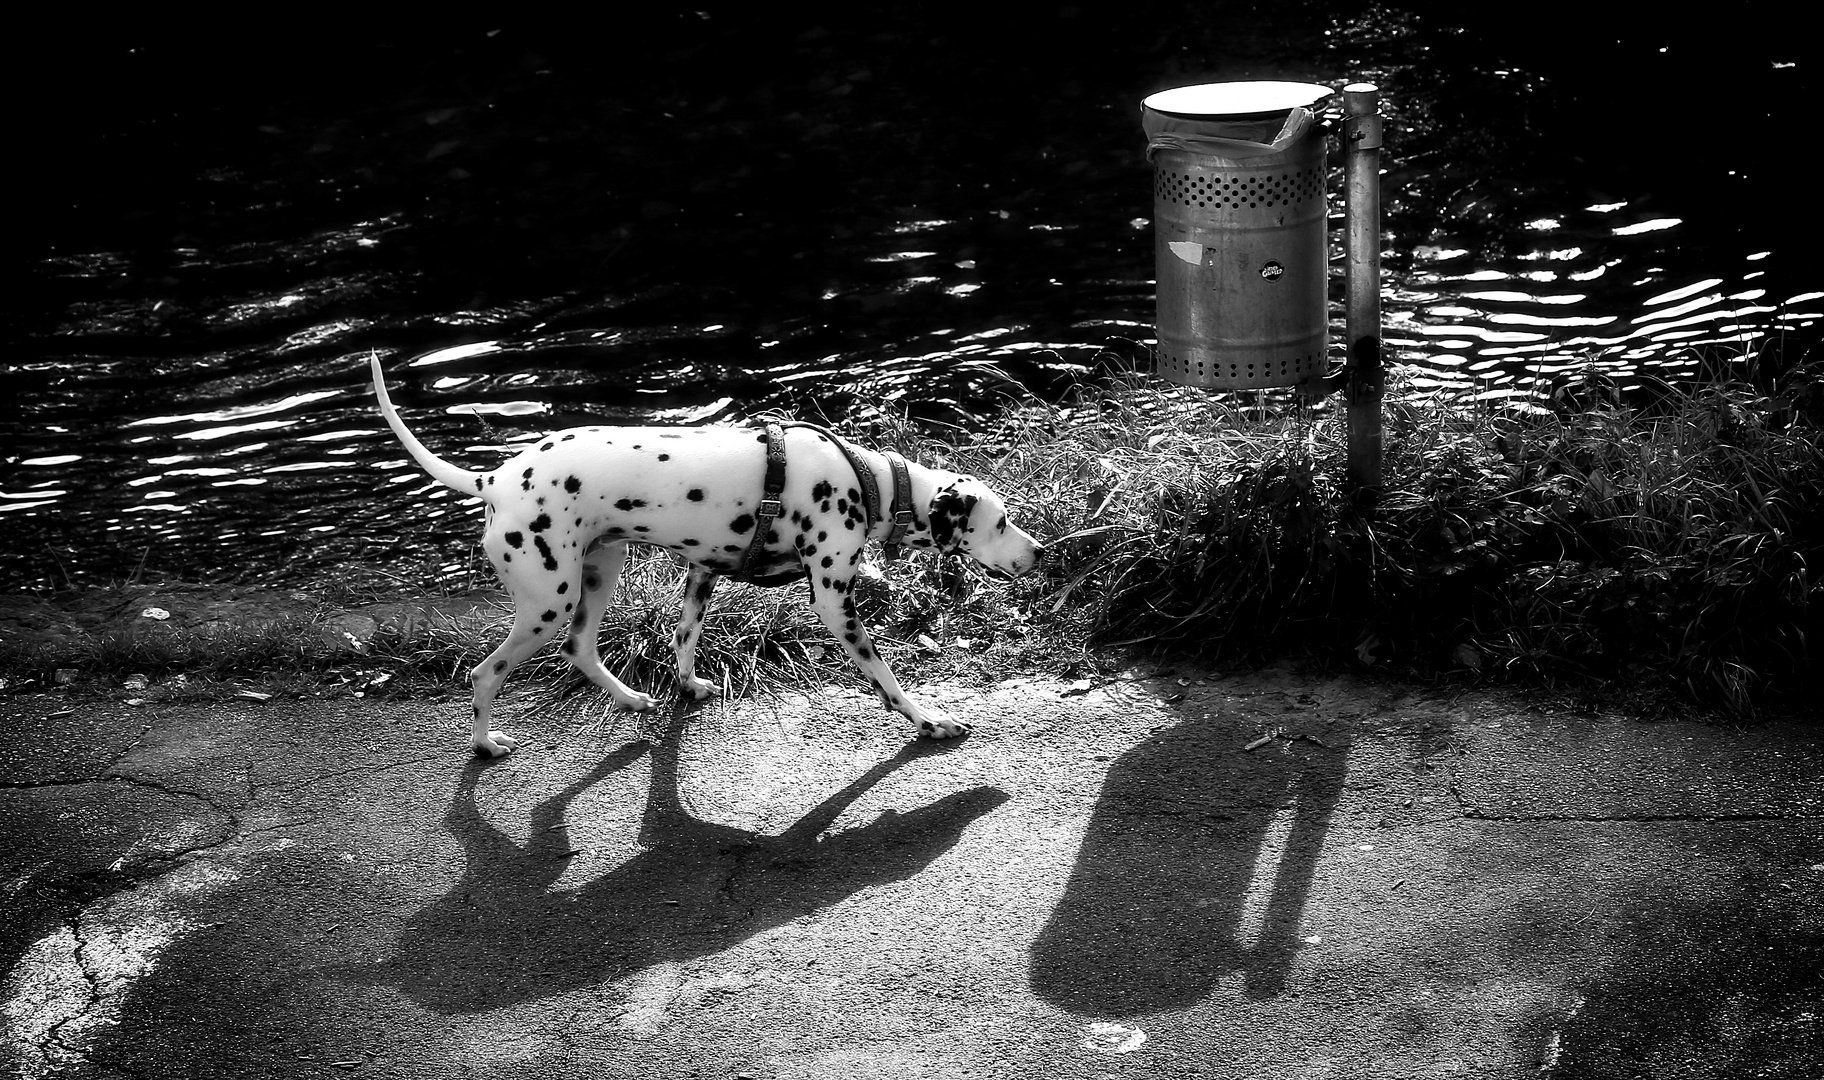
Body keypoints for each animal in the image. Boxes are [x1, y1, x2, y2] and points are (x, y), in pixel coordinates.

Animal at [366, 359, 1043, 755]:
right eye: (1001, 521)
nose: (1038, 555)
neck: (864, 480)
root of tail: (496, 479)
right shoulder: (835, 603)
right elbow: (885, 678)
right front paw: (929, 721)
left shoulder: (703, 572)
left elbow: (685, 634)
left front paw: (688, 684)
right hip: (547, 603)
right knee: (486, 674)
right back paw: (486, 744)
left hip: (598, 575)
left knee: (581, 649)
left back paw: (633, 700)